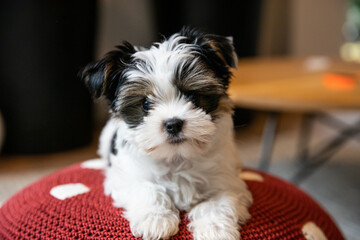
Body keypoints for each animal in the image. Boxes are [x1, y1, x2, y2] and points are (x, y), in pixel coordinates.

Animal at [80, 27, 252, 239]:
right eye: (146, 104)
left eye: (193, 96)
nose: (173, 124)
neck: (176, 157)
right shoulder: (125, 176)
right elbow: (146, 188)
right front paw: (155, 220)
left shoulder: (227, 180)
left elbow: (218, 202)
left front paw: (215, 228)